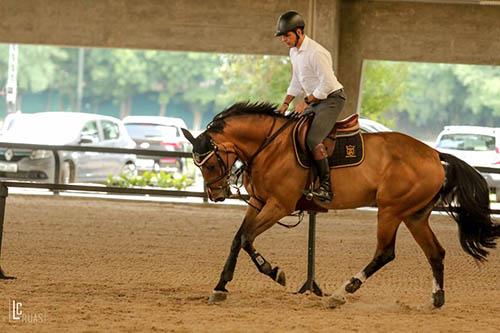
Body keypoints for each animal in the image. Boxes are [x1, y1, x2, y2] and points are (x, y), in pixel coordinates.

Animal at [182, 100, 498, 308]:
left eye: (209, 164)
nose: (216, 194)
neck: (270, 146)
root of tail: (433, 154)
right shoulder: (259, 203)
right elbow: (238, 239)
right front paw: (221, 286)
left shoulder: (278, 205)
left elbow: (248, 238)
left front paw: (275, 273)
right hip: (415, 215)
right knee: (435, 253)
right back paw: (436, 299)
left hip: (391, 211)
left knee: (385, 253)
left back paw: (341, 292)